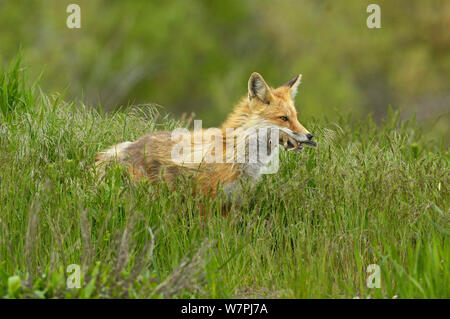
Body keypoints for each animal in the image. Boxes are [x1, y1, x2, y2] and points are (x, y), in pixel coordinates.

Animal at [96, 73, 316, 200]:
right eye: (283, 118)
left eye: (295, 117)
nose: (309, 135)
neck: (237, 152)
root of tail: (129, 145)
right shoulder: (208, 196)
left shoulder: (233, 200)